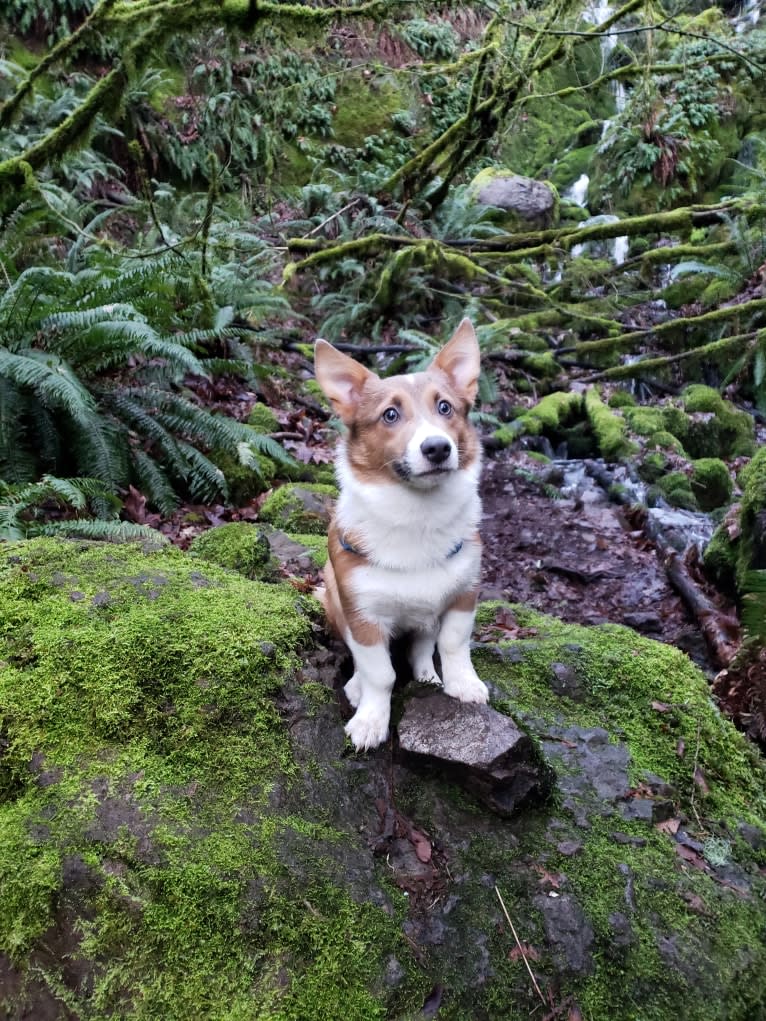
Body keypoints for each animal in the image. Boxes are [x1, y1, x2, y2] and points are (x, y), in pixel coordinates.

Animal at [312, 318, 488, 751]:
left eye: (445, 407)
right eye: (390, 414)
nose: (437, 448)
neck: (417, 514)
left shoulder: (464, 592)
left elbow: (453, 643)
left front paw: (463, 684)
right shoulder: (363, 615)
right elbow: (380, 673)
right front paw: (371, 720)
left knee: (423, 644)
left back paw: (427, 673)